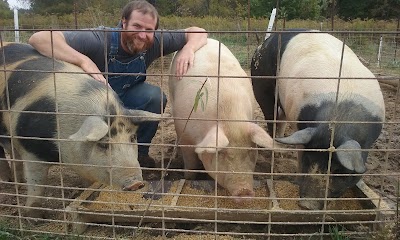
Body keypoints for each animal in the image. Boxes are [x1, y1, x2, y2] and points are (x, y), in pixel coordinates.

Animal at [1, 42, 161, 216]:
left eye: (132, 138)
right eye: (103, 144)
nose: (136, 184)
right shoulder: (31, 148)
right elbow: (37, 184)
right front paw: (32, 216)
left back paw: (17, 181)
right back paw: (8, 182)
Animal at [168, 38, 276, 202]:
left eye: (250, 151)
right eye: (221, 153)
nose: (244, 193)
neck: (229, 117)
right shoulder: (184, 132)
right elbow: (190, 165)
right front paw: (188, 178)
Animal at [252, 30, 386, 210]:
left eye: (338, 170)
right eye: (308, 159)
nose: (308, 204)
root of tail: (263, 44)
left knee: (281, 120)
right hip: (262, 84)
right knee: (271, 117)